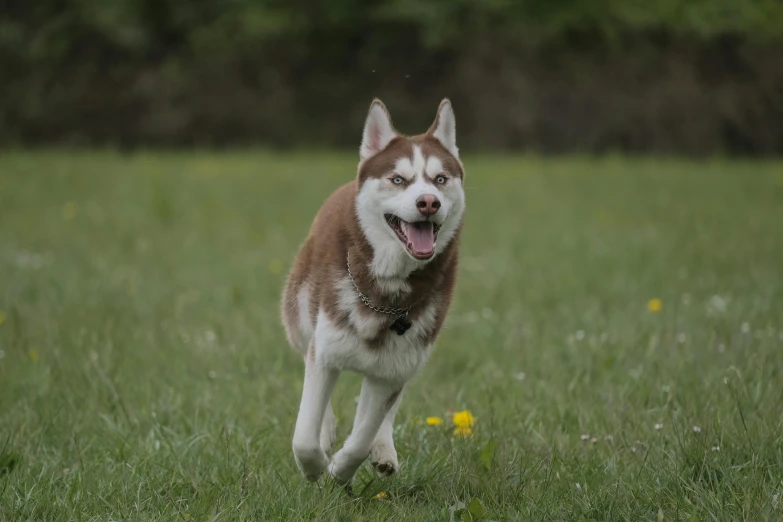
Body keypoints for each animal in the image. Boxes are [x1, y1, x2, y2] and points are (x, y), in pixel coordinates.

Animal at [280, 98, 466, 484]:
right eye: (399, 179)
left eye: (440, 179)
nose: (429, 201)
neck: (386, 293)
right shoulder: (324, 351)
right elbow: (304, 435)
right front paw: (315, 467)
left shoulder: (393, 369)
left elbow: (364, 433)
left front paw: (340, 470)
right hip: (300, 316)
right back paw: (327, 432)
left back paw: (382, 449)